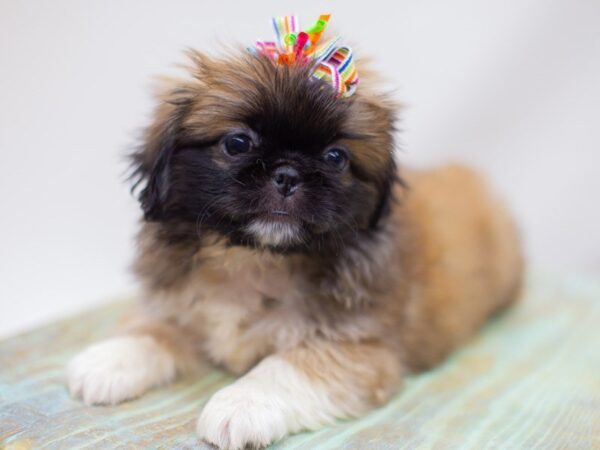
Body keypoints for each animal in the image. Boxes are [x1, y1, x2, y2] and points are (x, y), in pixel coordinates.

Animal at [68, 14, 524, 450]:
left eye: (336, 157)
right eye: (238, 143)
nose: (288, 174)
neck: (255, 259)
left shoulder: (357, 349)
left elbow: (284, 367)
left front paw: (240, 405)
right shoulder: (181, 304)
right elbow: (153, 329)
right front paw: (109, 359)